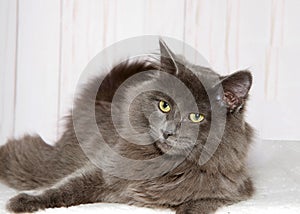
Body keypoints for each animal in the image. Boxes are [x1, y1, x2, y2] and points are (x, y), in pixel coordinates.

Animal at [0, 39, 254, 212]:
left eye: (196, 117)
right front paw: (23, 201)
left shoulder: (229, 191)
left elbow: (197, 204)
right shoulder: (101, 168)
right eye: (164, 106)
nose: (167, 132)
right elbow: (65, 188)